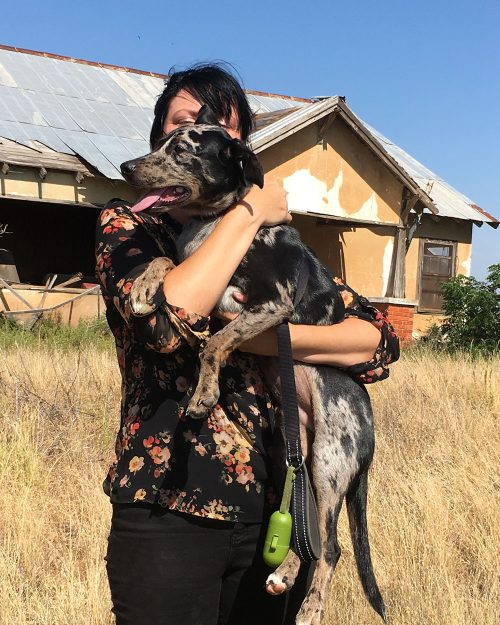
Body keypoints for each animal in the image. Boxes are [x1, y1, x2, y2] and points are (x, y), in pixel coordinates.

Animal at [120, 107, 386, 624]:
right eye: (161, 144)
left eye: (182, 149)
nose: (125, 167)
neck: (215, 222)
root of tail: (369, 441)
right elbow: (166, 262)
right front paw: (143, 285)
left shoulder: (271, 304)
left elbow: (215, 344)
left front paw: (203, 394)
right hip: (298, 460)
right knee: (309, 535)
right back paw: (283, 573)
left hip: (330, 461)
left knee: (332, 547)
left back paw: (310, 608)